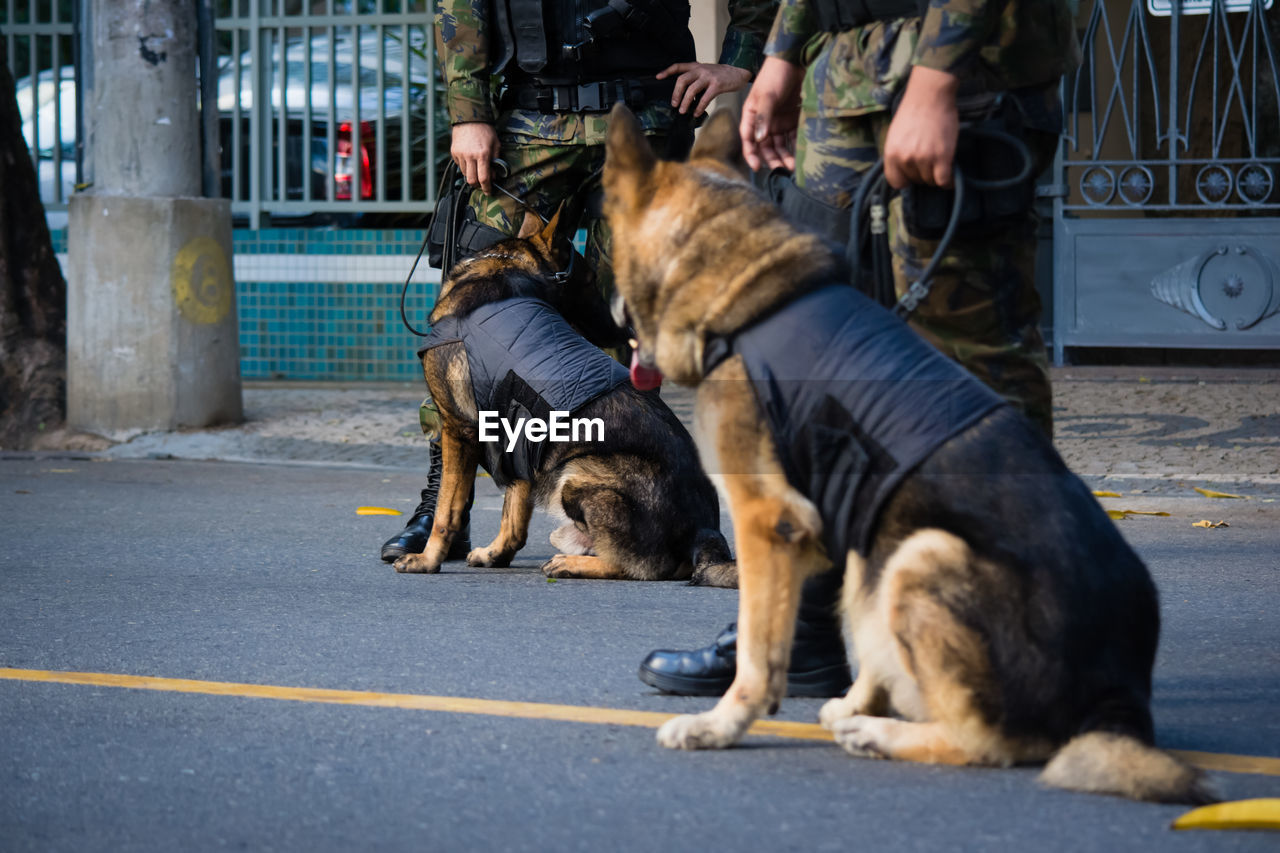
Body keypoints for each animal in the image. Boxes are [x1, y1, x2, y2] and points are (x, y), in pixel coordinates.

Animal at [389, 197, 737, 584]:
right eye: (588, 281)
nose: (627, 331)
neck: (508, 267)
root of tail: (706, 533)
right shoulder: (520, 433)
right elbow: (514, 516)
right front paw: (496, 555)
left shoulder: (458, 428)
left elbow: (446, 511)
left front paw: (427, 559)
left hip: (576, 474)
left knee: (642, 567)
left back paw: (572, 564)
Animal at [604, 103, 1213, 799]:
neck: (744, 297)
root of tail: (1120, 702)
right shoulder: (840, 521)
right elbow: (854, 631)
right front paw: (851, 699)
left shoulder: (768, 521)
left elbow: (760, 651)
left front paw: (721, 725)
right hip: (887, 548)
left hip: (920, 552)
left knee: (991, 743)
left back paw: (884, 735)